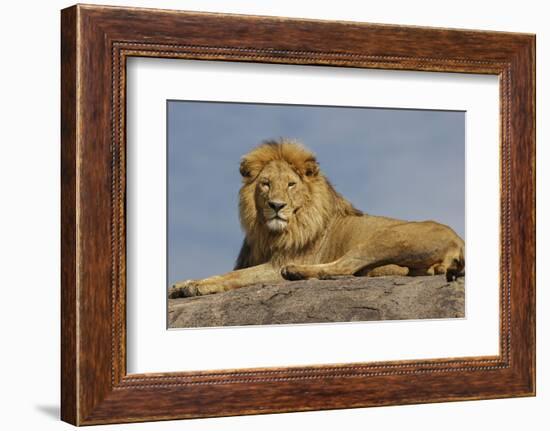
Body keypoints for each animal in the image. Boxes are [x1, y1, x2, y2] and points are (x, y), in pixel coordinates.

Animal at [169, 140, 466, 298]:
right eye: (265, 184)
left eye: (290, 184)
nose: (276, 206)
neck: (270, 233)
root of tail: (459, 242)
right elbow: (228, 272)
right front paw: (181, 285)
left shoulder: (278, 263)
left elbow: (236, 276)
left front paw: (196, 286)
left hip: (386, 237)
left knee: (343, 267)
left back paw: (295, 273)